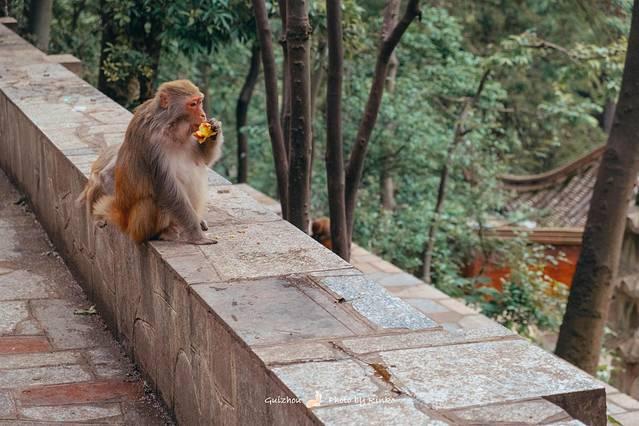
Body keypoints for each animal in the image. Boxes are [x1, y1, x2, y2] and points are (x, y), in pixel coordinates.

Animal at [79, 80, 224, 245]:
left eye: (200, 102)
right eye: (193, 104)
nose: (203, 115)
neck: (169, 127)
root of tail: (123, 220)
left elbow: (202, 158)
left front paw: (214, 128)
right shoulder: (151, 143)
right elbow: (167, 187)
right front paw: (197, 235)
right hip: (137, 225)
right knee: (152, 200)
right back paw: (161, 233)